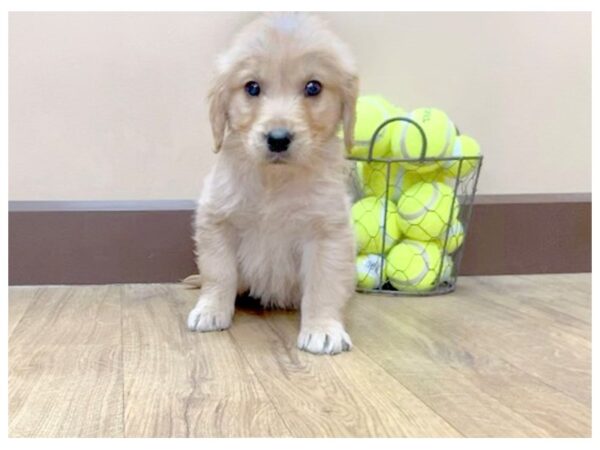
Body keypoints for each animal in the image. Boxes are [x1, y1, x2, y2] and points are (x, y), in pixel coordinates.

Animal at [186, 12, 356, 354]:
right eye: (252, 87)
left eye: (314, 87)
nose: (278, 139)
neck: (273, 181)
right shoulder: (217, 219)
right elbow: (218, 273)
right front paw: (211, 309)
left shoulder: (328, 233)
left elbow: (324, 284)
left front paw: (323, 327)